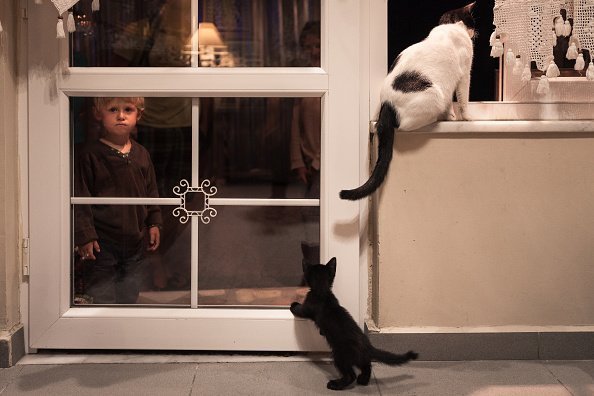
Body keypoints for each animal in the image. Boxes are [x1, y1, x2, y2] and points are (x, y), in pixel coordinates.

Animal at [288, 258, 416, 392]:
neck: (322, 290)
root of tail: (367, 345)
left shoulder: (307, 306)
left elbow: (300, 310)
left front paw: (293, 305)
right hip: (358, 357)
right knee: (367, 365)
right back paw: (363, 380)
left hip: (340, 355)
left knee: (350, 375)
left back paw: (336, 384)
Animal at [340, 2, 474, 201]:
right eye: (472, 21)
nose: (474, 32)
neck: (448, 26)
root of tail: (386, 104)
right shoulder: (464, 73)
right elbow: (464, 99)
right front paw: (466, 117)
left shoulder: (450, 82)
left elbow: (452, 101)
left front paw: (451, 115)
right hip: (434, 96)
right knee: (405, 125)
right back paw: (438, 118)